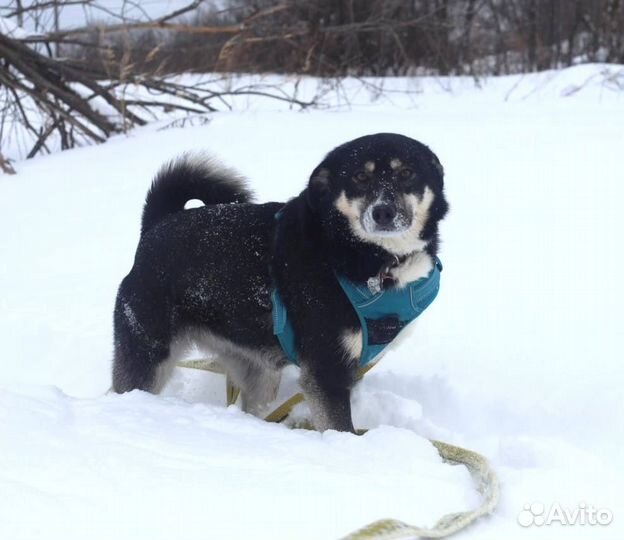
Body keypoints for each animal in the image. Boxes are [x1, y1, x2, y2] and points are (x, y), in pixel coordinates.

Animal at [111, 133, 444, 432]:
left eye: (407, 173)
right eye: (360, 176)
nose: (383, 212)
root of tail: (156, 225)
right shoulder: (326, 371)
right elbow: (340, 428)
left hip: (258, 373)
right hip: (148, 356)